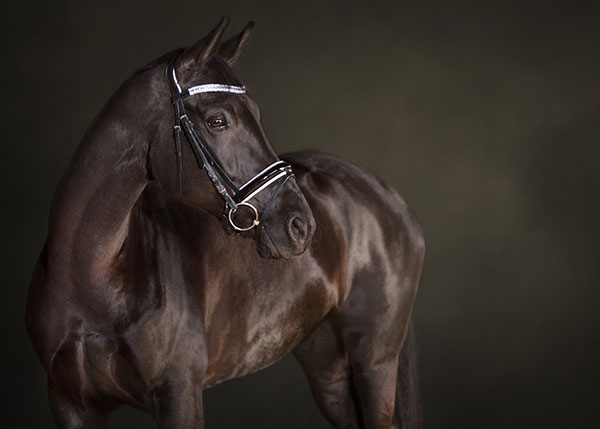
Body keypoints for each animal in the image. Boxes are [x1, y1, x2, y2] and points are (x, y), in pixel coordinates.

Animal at [24, 18, 426, 426]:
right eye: (218, 120)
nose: (301, 225)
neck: (92, 278)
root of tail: (388, 193)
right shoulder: (71, 404)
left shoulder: (180, 396)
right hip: (329, 368)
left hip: (375, 362)